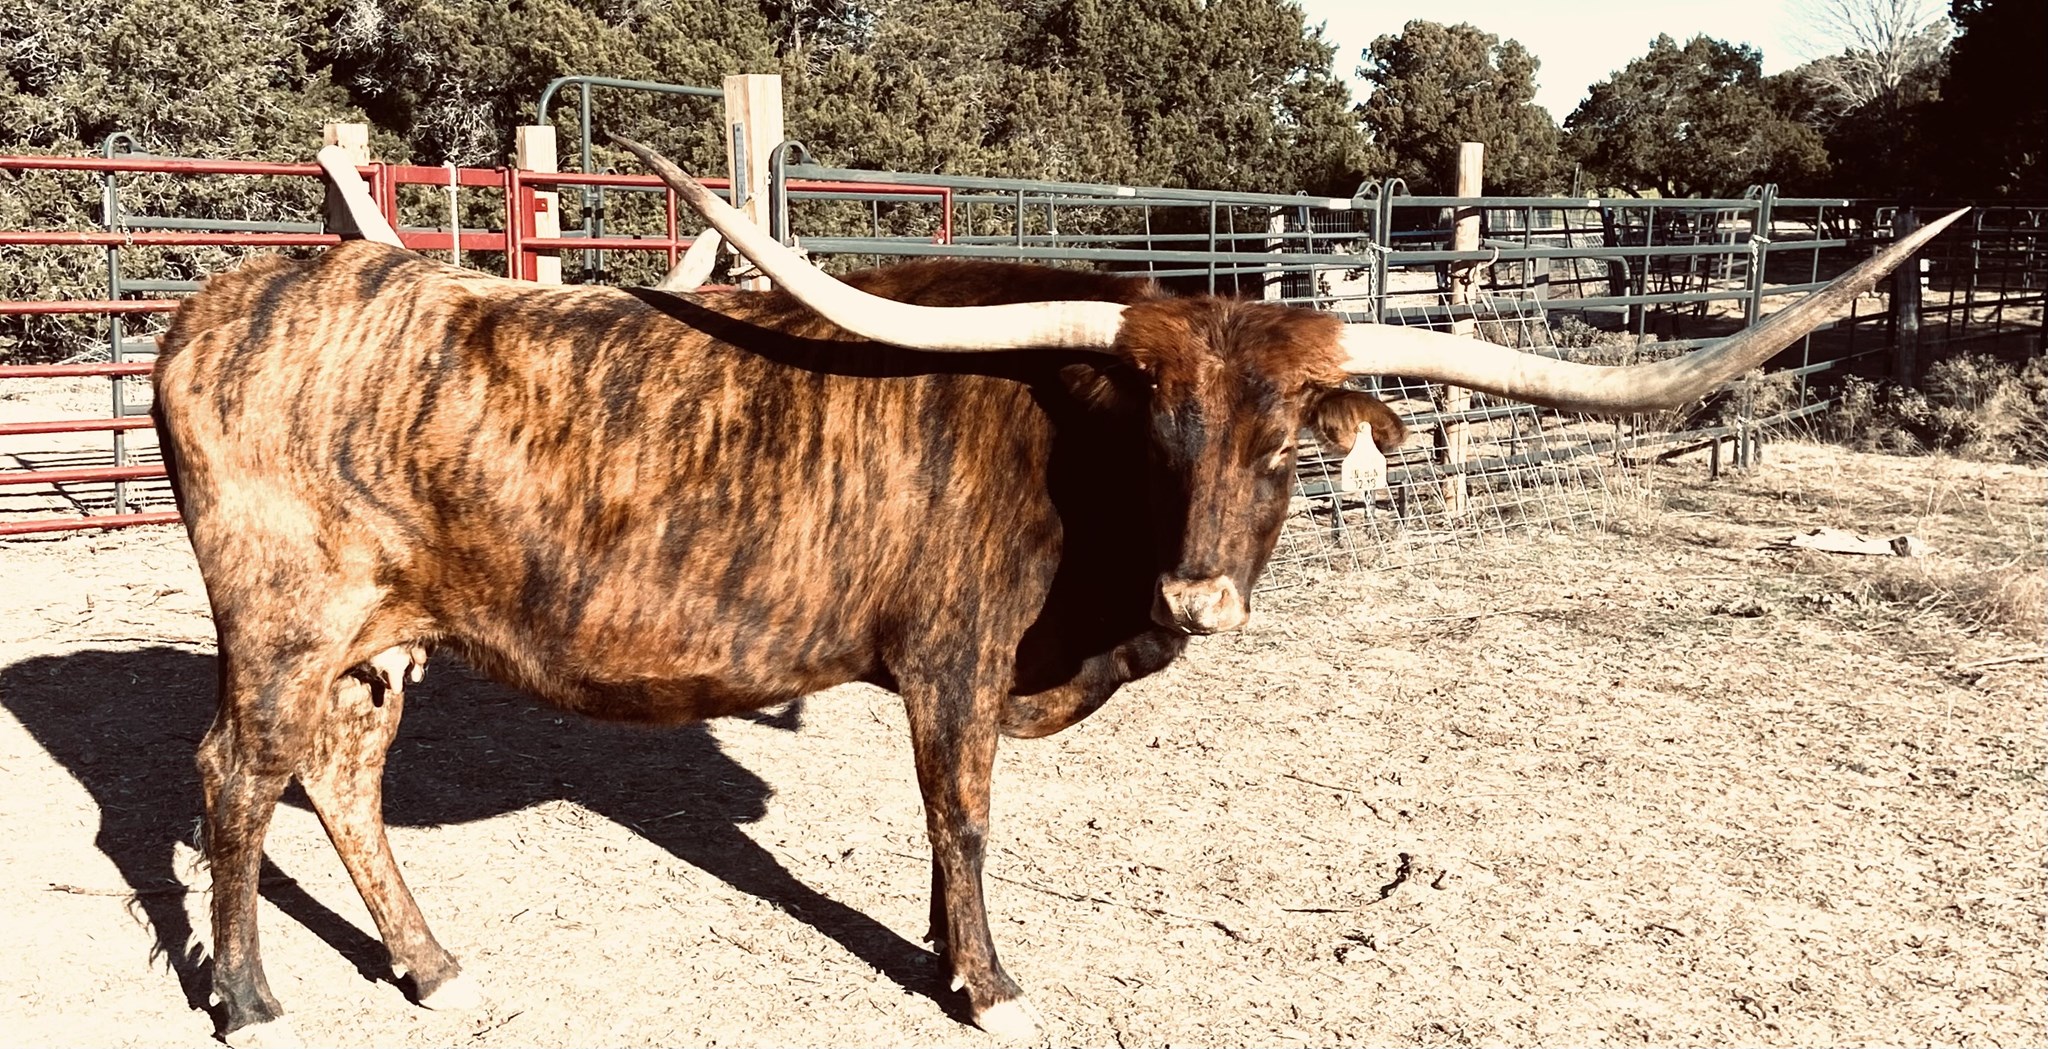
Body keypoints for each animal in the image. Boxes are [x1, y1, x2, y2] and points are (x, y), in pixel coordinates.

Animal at [153, 138, 1961, 1046]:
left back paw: (434, 964)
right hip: (281, 617)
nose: (1208, 592)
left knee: (338, 776)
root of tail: (232, 297)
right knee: (234, 777)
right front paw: (990, 984)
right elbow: (963, 821)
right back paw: (251, 998)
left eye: (1291, 443)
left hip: (382, 637)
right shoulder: (952, 664)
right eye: (1160, 417)